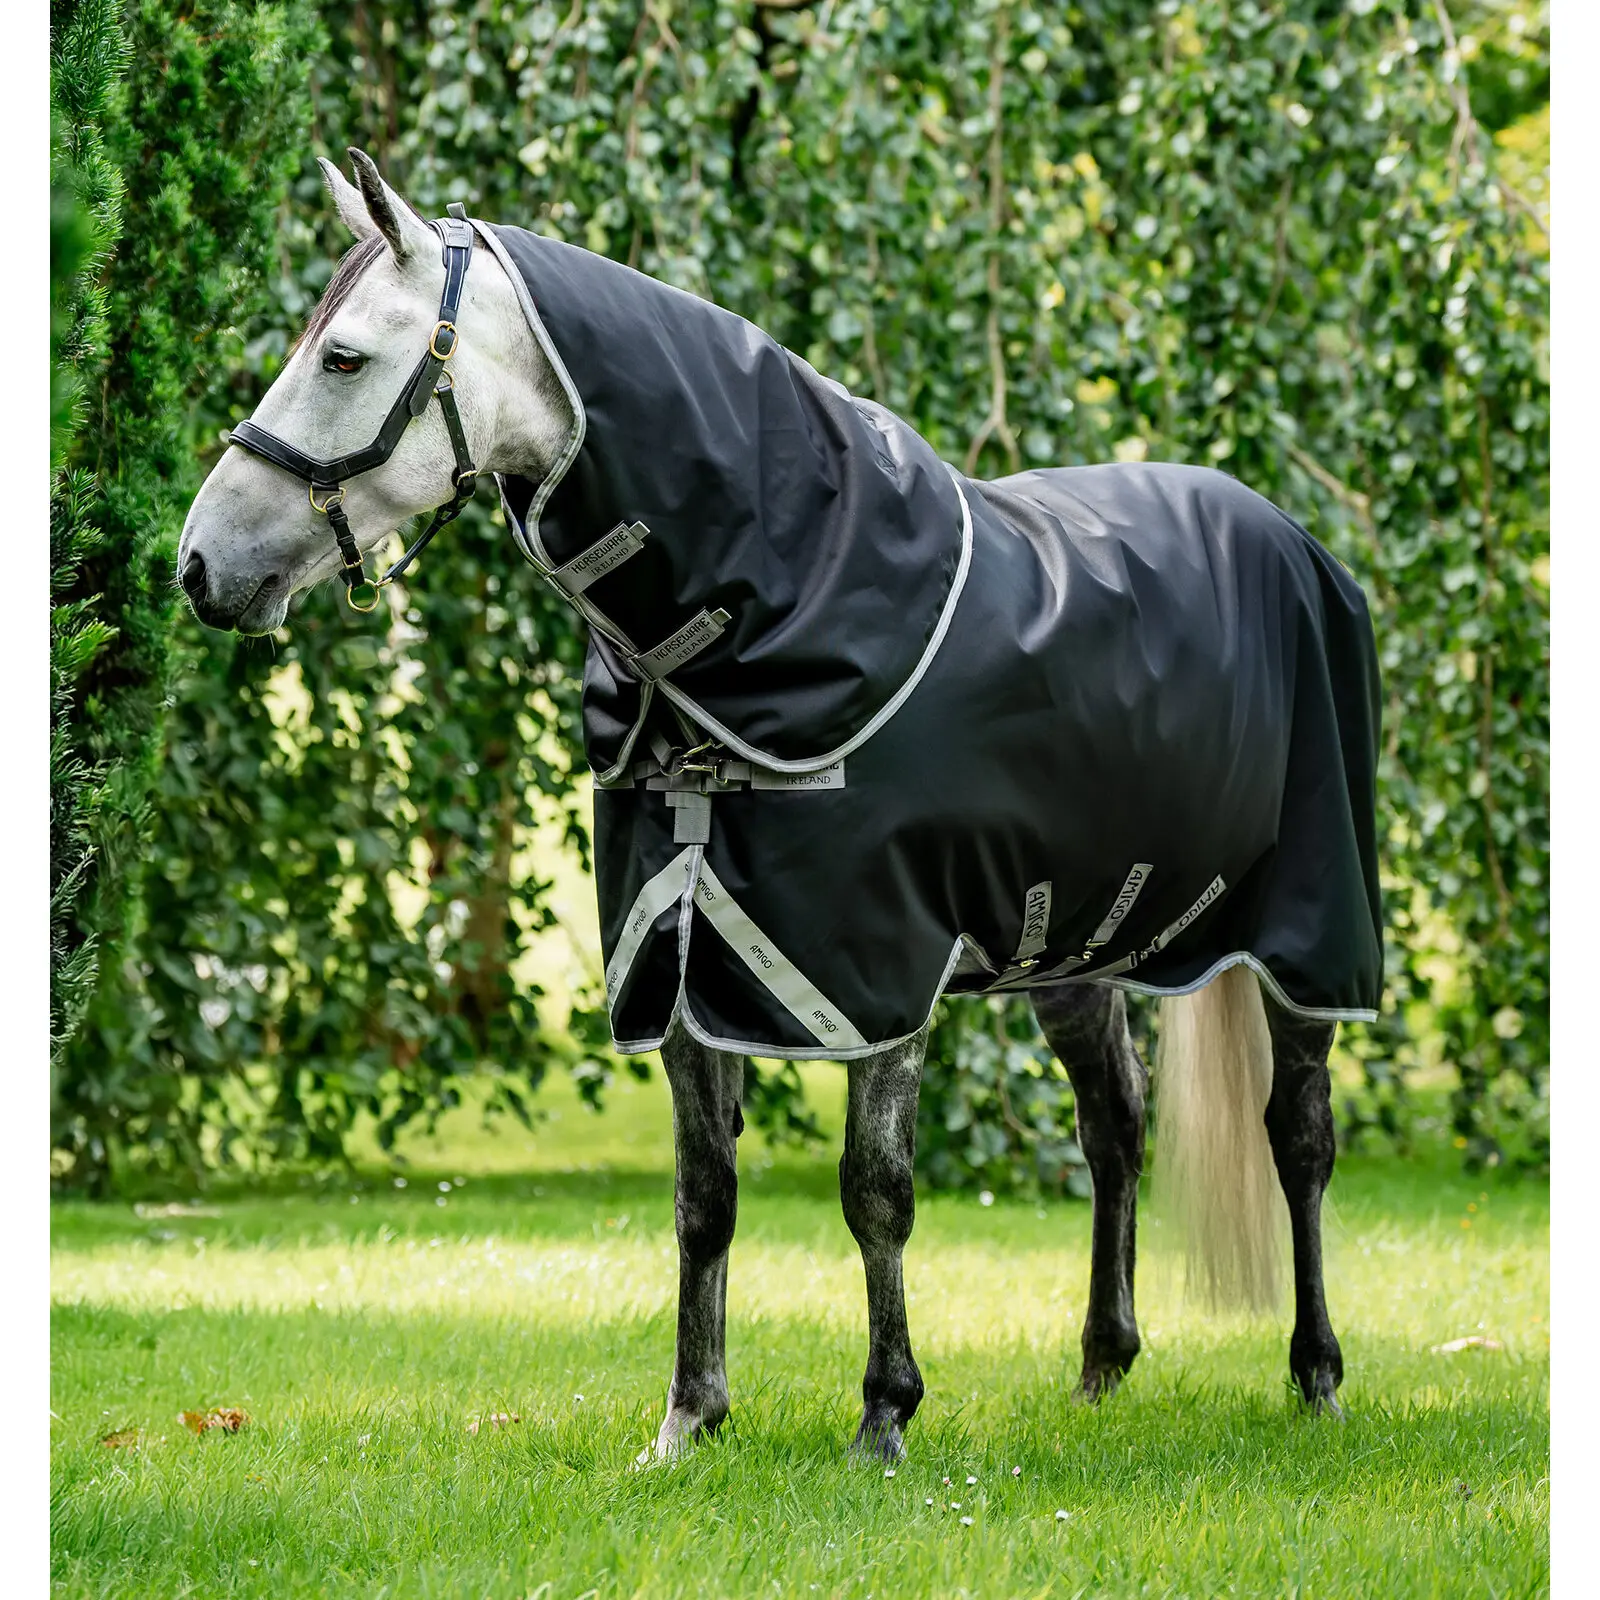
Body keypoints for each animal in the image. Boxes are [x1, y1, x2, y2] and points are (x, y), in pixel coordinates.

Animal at [180, 150, 1383, 1464]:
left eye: (343, 357)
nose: (198, 566)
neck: (773, 607)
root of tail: (1293, 540)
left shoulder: (877, 972)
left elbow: (876, 1190)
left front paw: (884, 1414)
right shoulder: (676, 952)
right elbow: (703, 1198)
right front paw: (686, 1420)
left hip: (1307, 937)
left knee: (1299, 1137)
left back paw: (1317, 1374)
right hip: (1071, 947)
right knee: (1113, 1124)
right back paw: (1101, 1369)